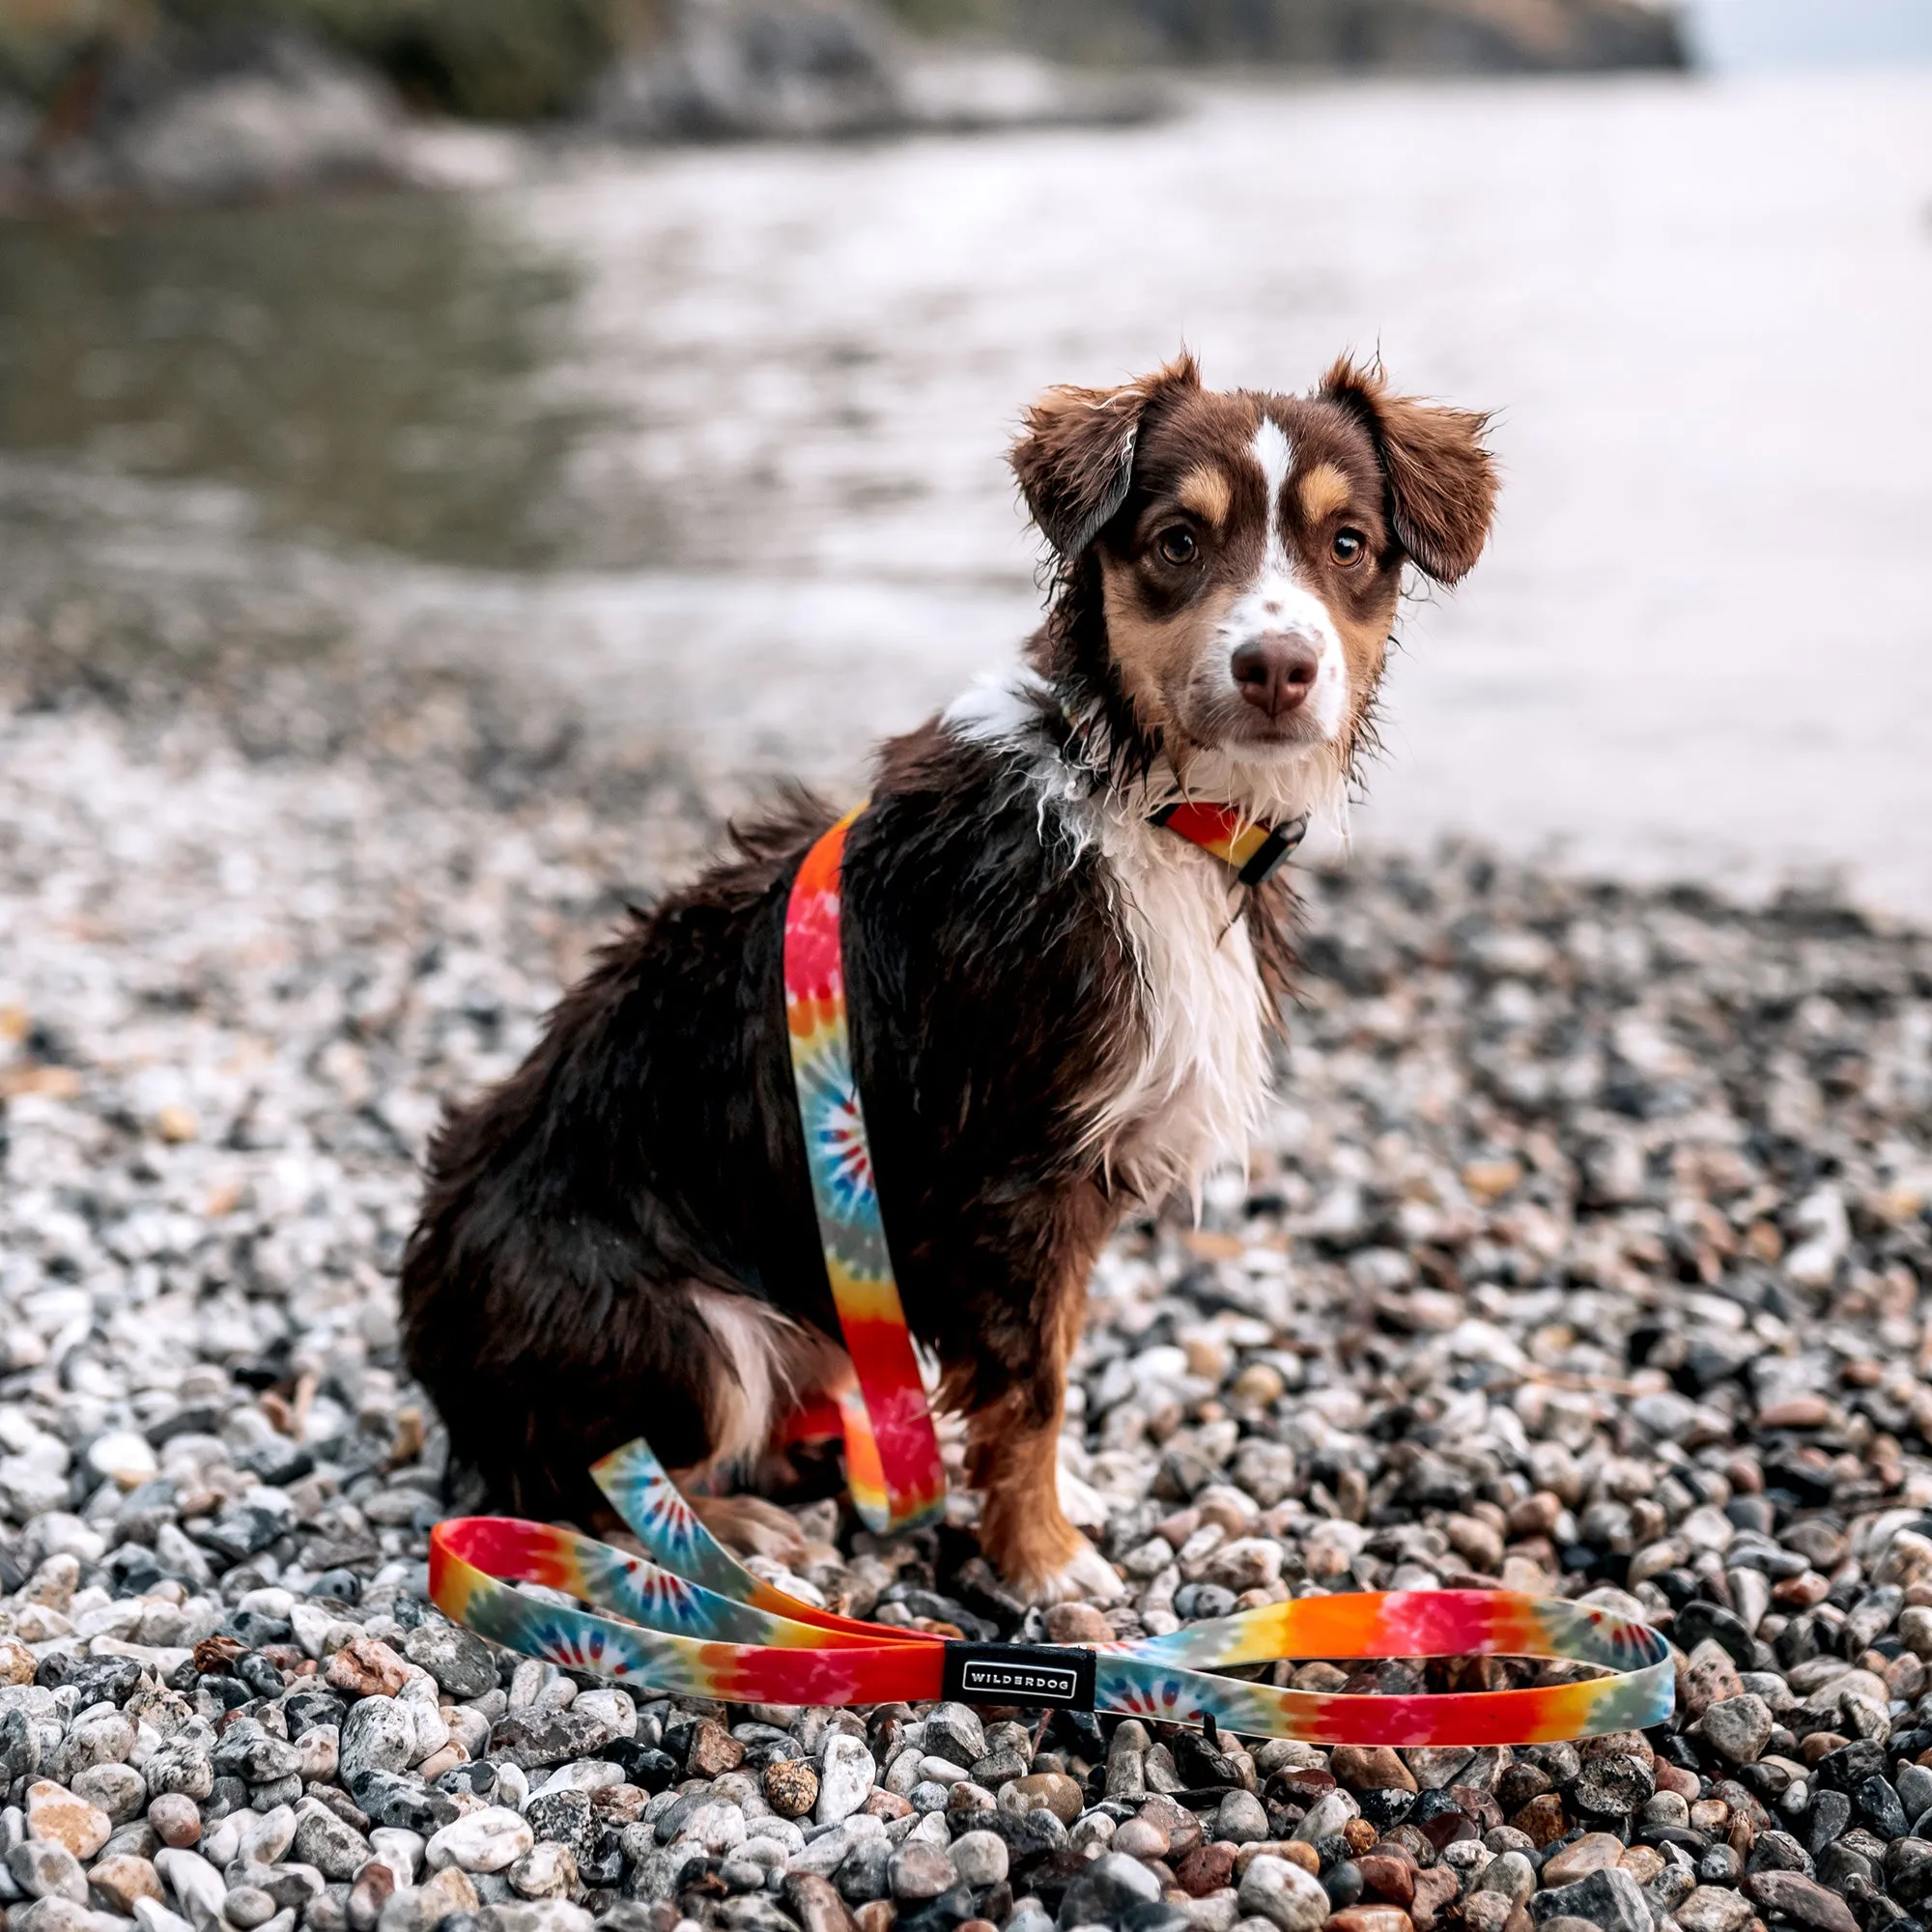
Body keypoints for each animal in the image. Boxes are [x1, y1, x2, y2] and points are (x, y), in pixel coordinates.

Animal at [404, 352, 1492, 1600]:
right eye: (1176, 539)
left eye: (1348, 543)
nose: (1276, 667)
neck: (1142, 798)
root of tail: (428, 1333)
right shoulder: (1010, 1176)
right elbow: (1030, 1389)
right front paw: (1042, 1559)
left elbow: (1047, 1365)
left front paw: (1050, 1516)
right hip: (693, 1331)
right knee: (573, 1488)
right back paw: (732, 1529)